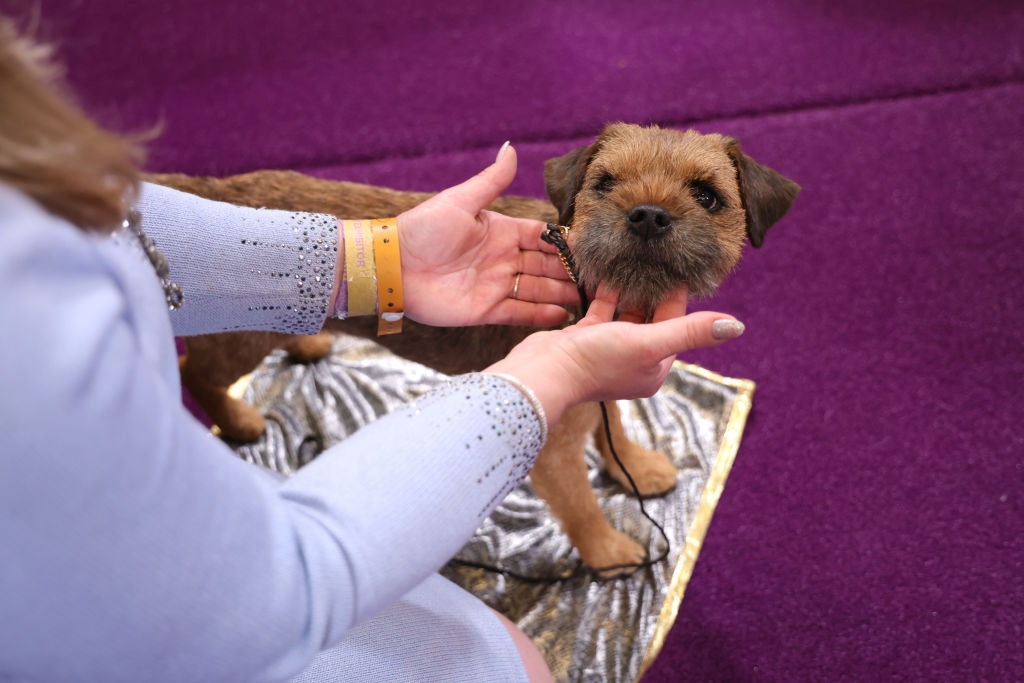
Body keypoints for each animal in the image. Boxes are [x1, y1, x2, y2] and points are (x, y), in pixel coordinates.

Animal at [155, 124, 802, 577]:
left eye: (707, 196)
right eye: (605, 184)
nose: (646, 215)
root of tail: (219, 190)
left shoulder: (598, 397)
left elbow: (612, 424)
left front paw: (635, 467)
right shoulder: (553, 448)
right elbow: (582, 504)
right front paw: (608, 553)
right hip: (239, 339)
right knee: (194, 369)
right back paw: (239, 421)